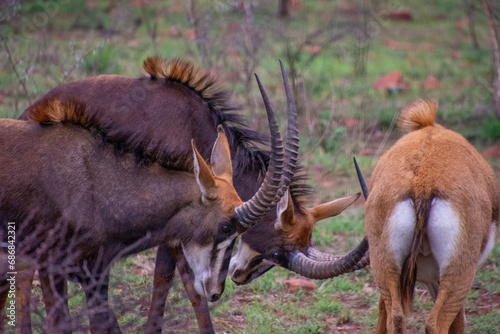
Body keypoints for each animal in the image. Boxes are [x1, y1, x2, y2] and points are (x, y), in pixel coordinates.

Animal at [14, 58, 368, 334]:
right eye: (279, 253)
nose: (240, 275)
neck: (196, 127)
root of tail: (30, 113)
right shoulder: (179, 223)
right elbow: (181, 283)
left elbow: (169, 278)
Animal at [358, 100, 498, 334]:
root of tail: (423, 181)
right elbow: (459, 321)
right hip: (458, 275)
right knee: (437, 323)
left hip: (386, 266)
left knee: (394, 317)